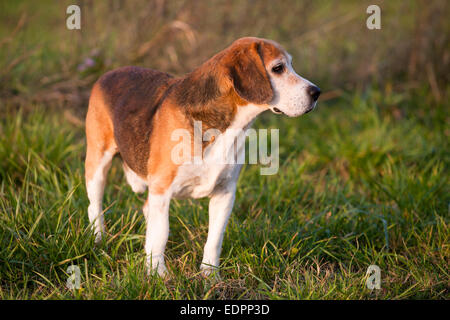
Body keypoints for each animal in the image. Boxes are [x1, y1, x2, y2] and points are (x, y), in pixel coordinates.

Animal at [85, 37, 320, 278]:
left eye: (290, 65)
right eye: (278, 68)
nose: (316, 92)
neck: (226, 128)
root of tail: (108, 74)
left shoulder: (225, 192)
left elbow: (214, 239)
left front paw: (210, 275)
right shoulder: (162, 188)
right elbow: (161, 233)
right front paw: (158, 275)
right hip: (97, 164)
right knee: (95, 206)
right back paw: (99, 240)